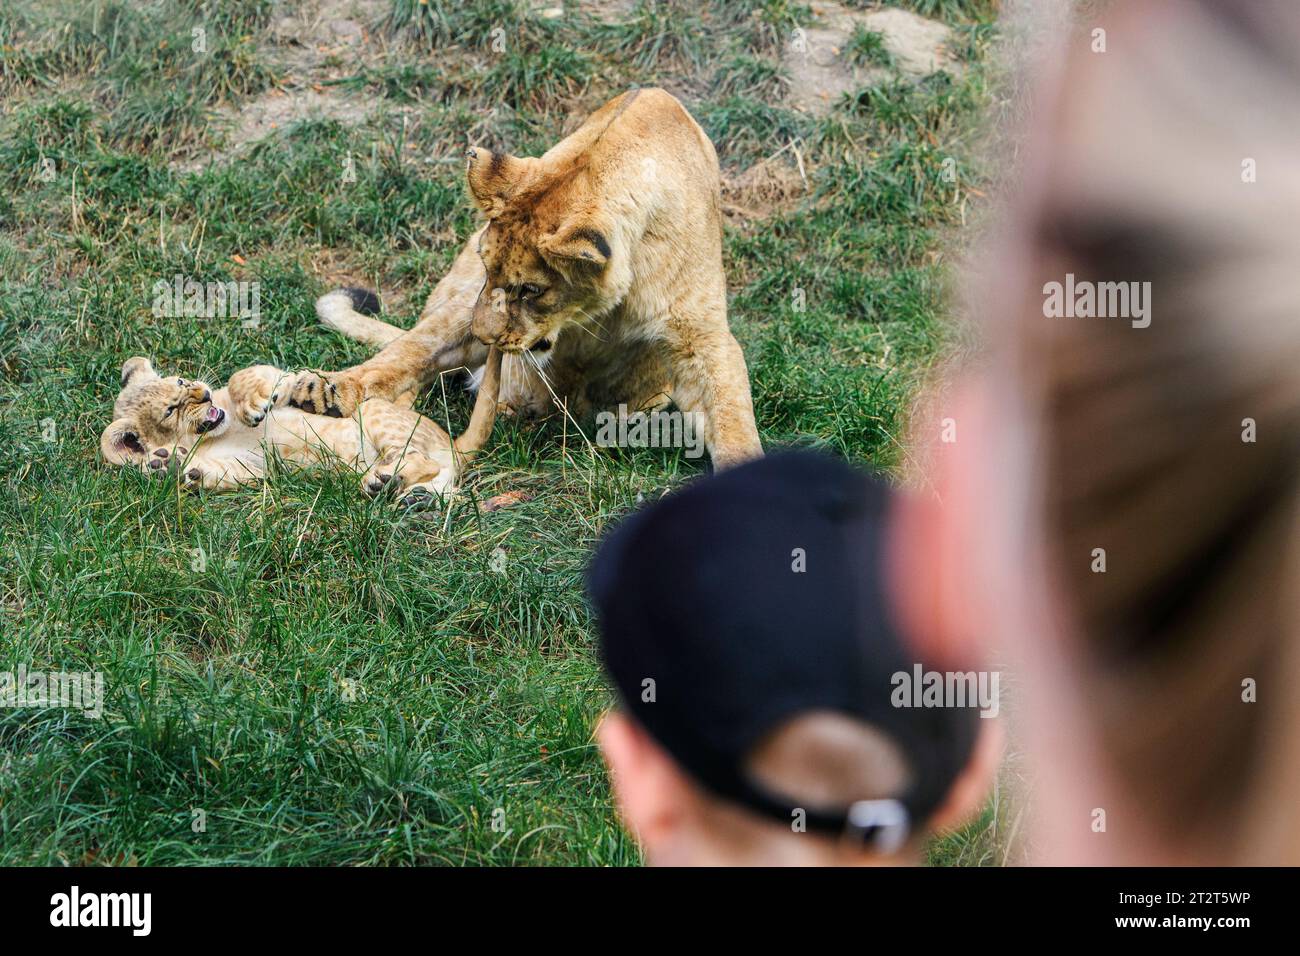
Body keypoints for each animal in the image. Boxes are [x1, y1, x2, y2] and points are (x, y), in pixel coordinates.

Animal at [99, 337, 502, 506]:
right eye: (171, 410)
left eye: (182, 381)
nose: (203, 395)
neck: (214, 436)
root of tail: (453, 445)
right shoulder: (256, 467)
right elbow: (218, 472)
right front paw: (169, 465)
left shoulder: (284, 379)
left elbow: (248, 374)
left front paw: (252, 404)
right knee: (442, 484)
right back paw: (400, 491)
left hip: (371, 410)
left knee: (421, 460)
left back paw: (385, 479)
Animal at [282, 88, 764, 469]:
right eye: (487, 269)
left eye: (532, 290)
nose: (484, 334)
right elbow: (412, 352)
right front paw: (335, 391)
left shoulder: (700, 338)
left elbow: (732, 419)